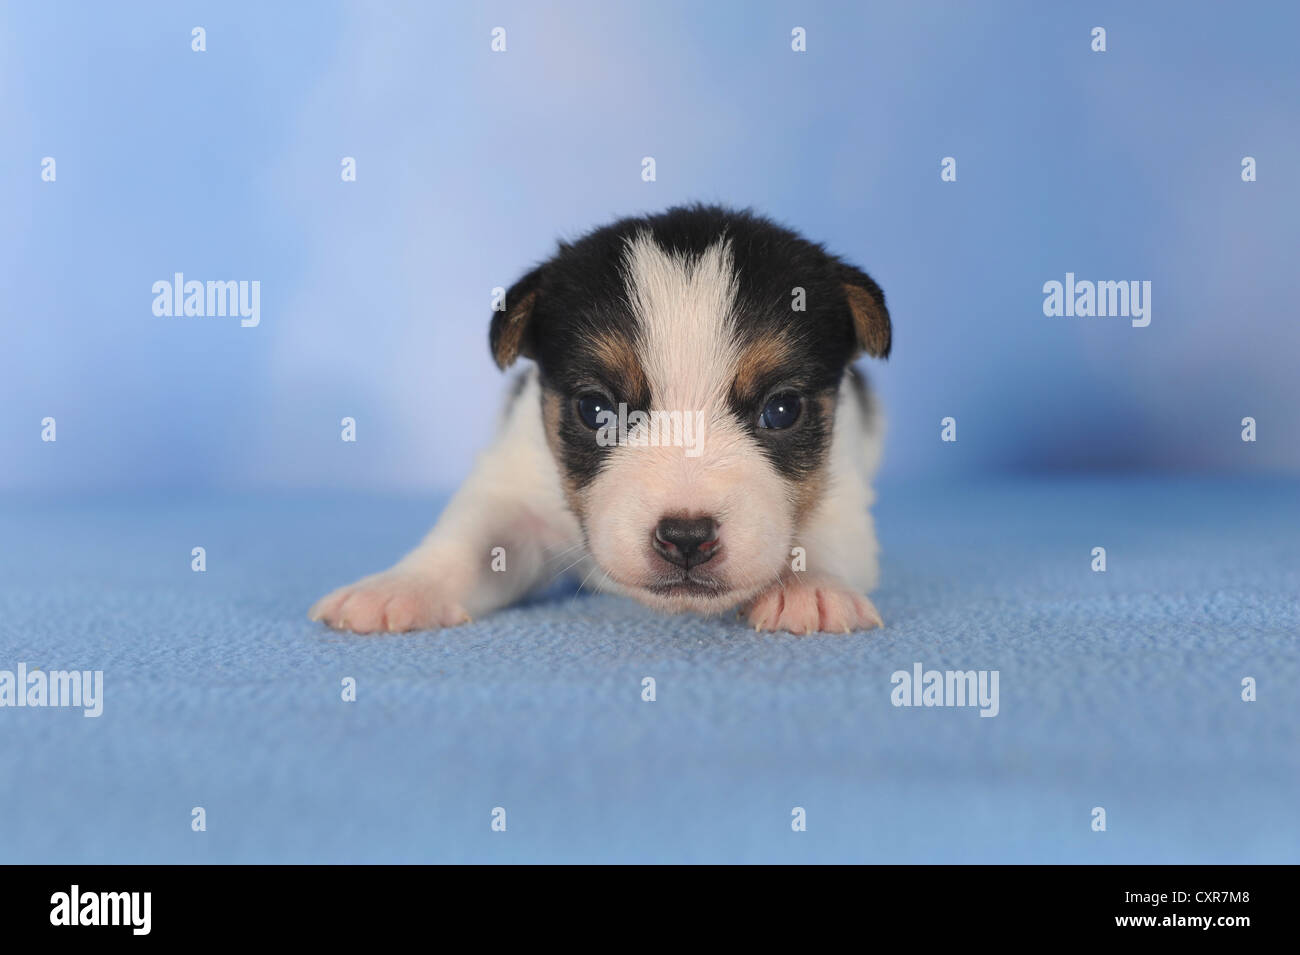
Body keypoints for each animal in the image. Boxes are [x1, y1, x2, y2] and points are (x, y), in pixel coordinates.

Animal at [309, 203, 889, 634]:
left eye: (782, 410)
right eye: (595, 410)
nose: (686, 538)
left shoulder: (843, 491)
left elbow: (827, 538)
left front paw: (809, 587)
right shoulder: (517, 487)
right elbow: (472, 540)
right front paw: (399, 589)